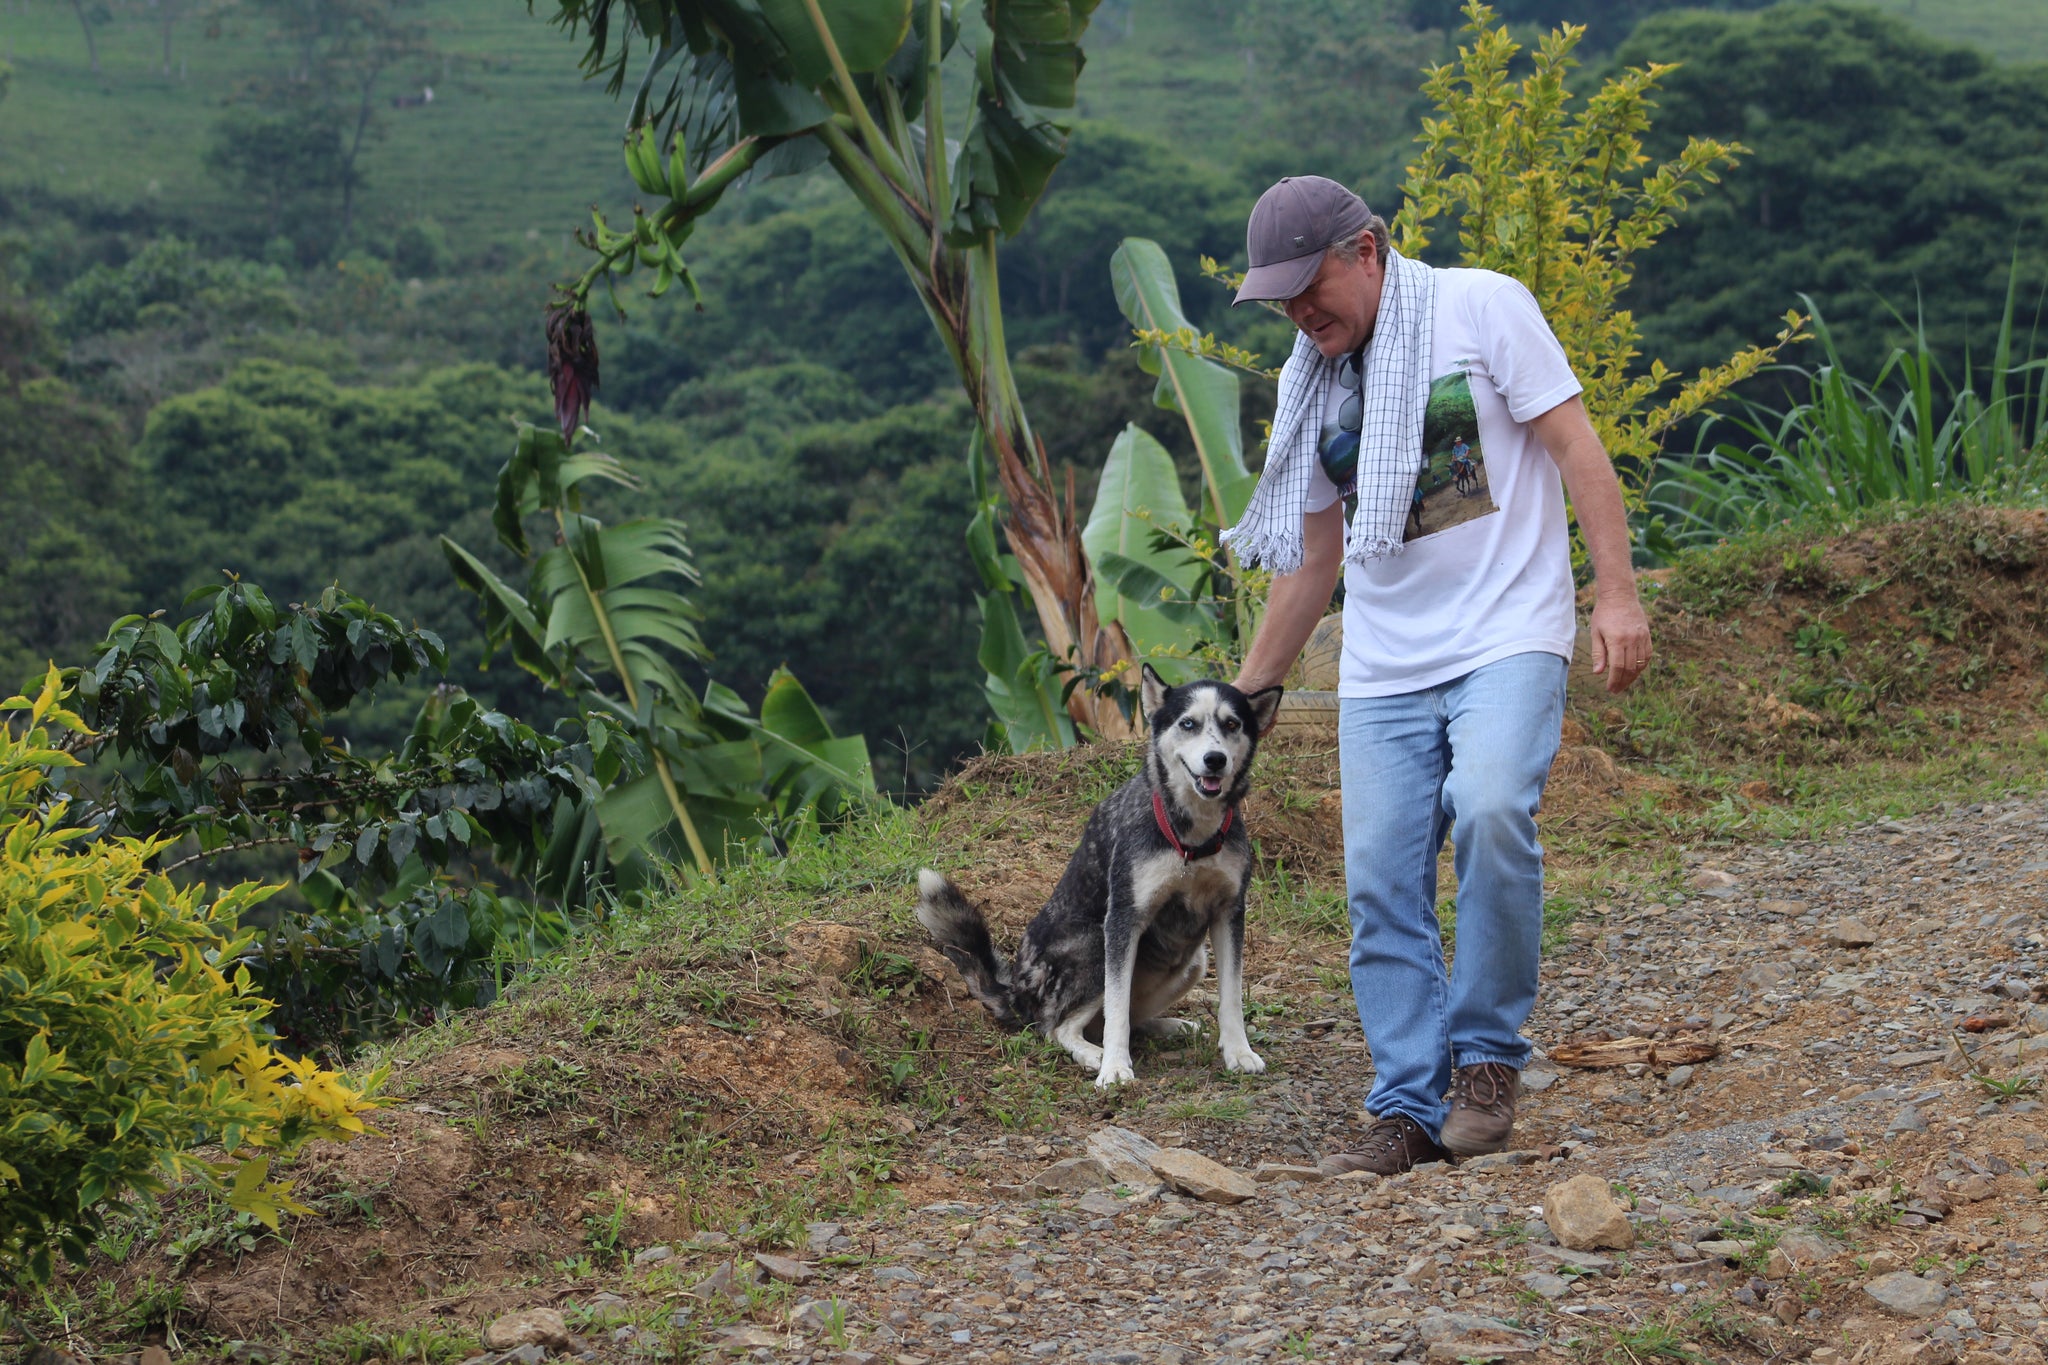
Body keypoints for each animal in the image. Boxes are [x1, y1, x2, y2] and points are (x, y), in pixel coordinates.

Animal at [925, 663, 1286, 1088]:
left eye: (1232, 724)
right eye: (1188, 723)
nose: (1215, 759)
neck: (1189, 839)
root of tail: (1015, 988)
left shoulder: (1229, 913)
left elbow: (1231, 998)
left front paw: (1239, 1052)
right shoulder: (1123, 920)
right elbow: (1116, 1007)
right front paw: (1114, 1066)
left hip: (1194, 962)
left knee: (1125, 1018)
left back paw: (1169, 1027)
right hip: (1095, 945)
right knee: (1057, 1028)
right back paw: (1094, 1054)